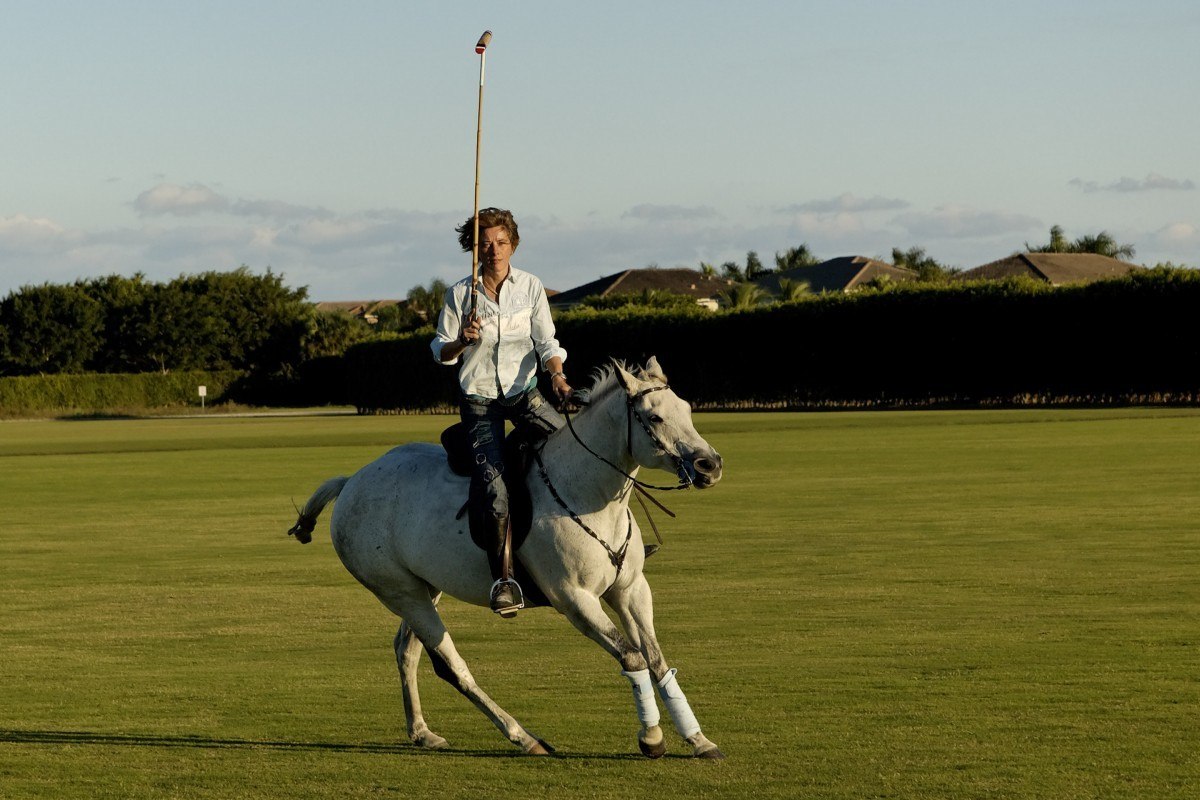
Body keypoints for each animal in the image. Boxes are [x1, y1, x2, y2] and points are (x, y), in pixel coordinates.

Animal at [285, 359, 724, 762]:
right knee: (451, 665)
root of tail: (351, 482)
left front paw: (698, 739)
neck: (588, 491)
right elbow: (632, 656)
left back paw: (423, 732)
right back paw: (524, 737)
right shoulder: (574, 599)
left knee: (406, 651)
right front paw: (652, 738)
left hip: (426, 587)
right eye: (654, 416)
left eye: (687, 409)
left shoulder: (630, 590)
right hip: (397, 589)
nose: (711, 465)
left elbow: (656, 659)